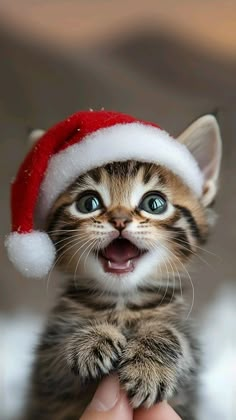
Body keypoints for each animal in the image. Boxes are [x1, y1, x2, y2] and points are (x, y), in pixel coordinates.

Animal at [25, 115, 221, 420]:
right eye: (88, 203)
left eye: (154, 203)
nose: (119, 220)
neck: (122, 302)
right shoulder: (45, 373)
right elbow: (56, 352)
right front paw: (91, 339)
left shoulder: (191, 370)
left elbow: (175, 336)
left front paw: (149, 367)